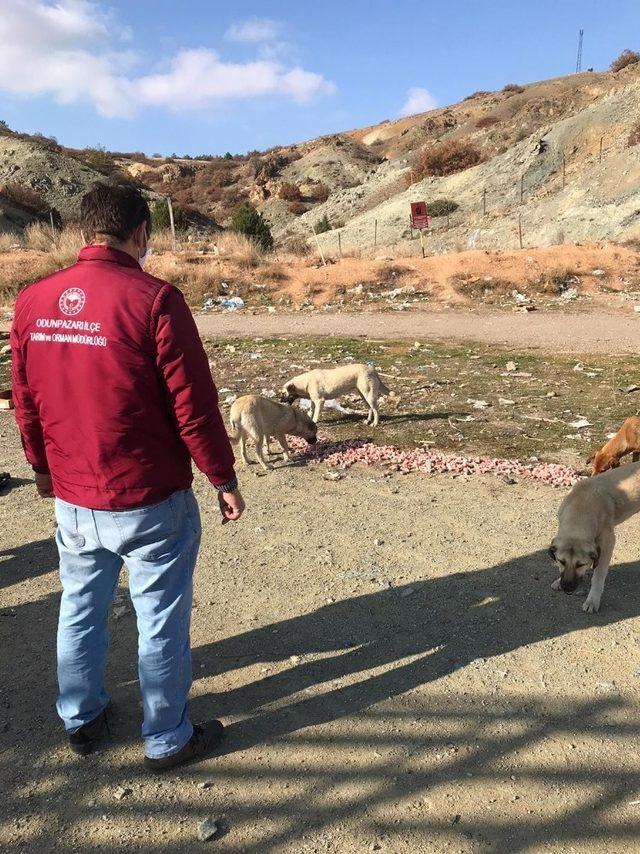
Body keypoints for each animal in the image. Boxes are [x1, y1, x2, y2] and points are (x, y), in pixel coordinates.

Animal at [548, 464, 640, 612]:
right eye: (561, 561)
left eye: (580, 564)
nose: (567, 587)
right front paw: (558, 580)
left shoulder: (607, 544)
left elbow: (598, 575)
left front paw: (593, 599)